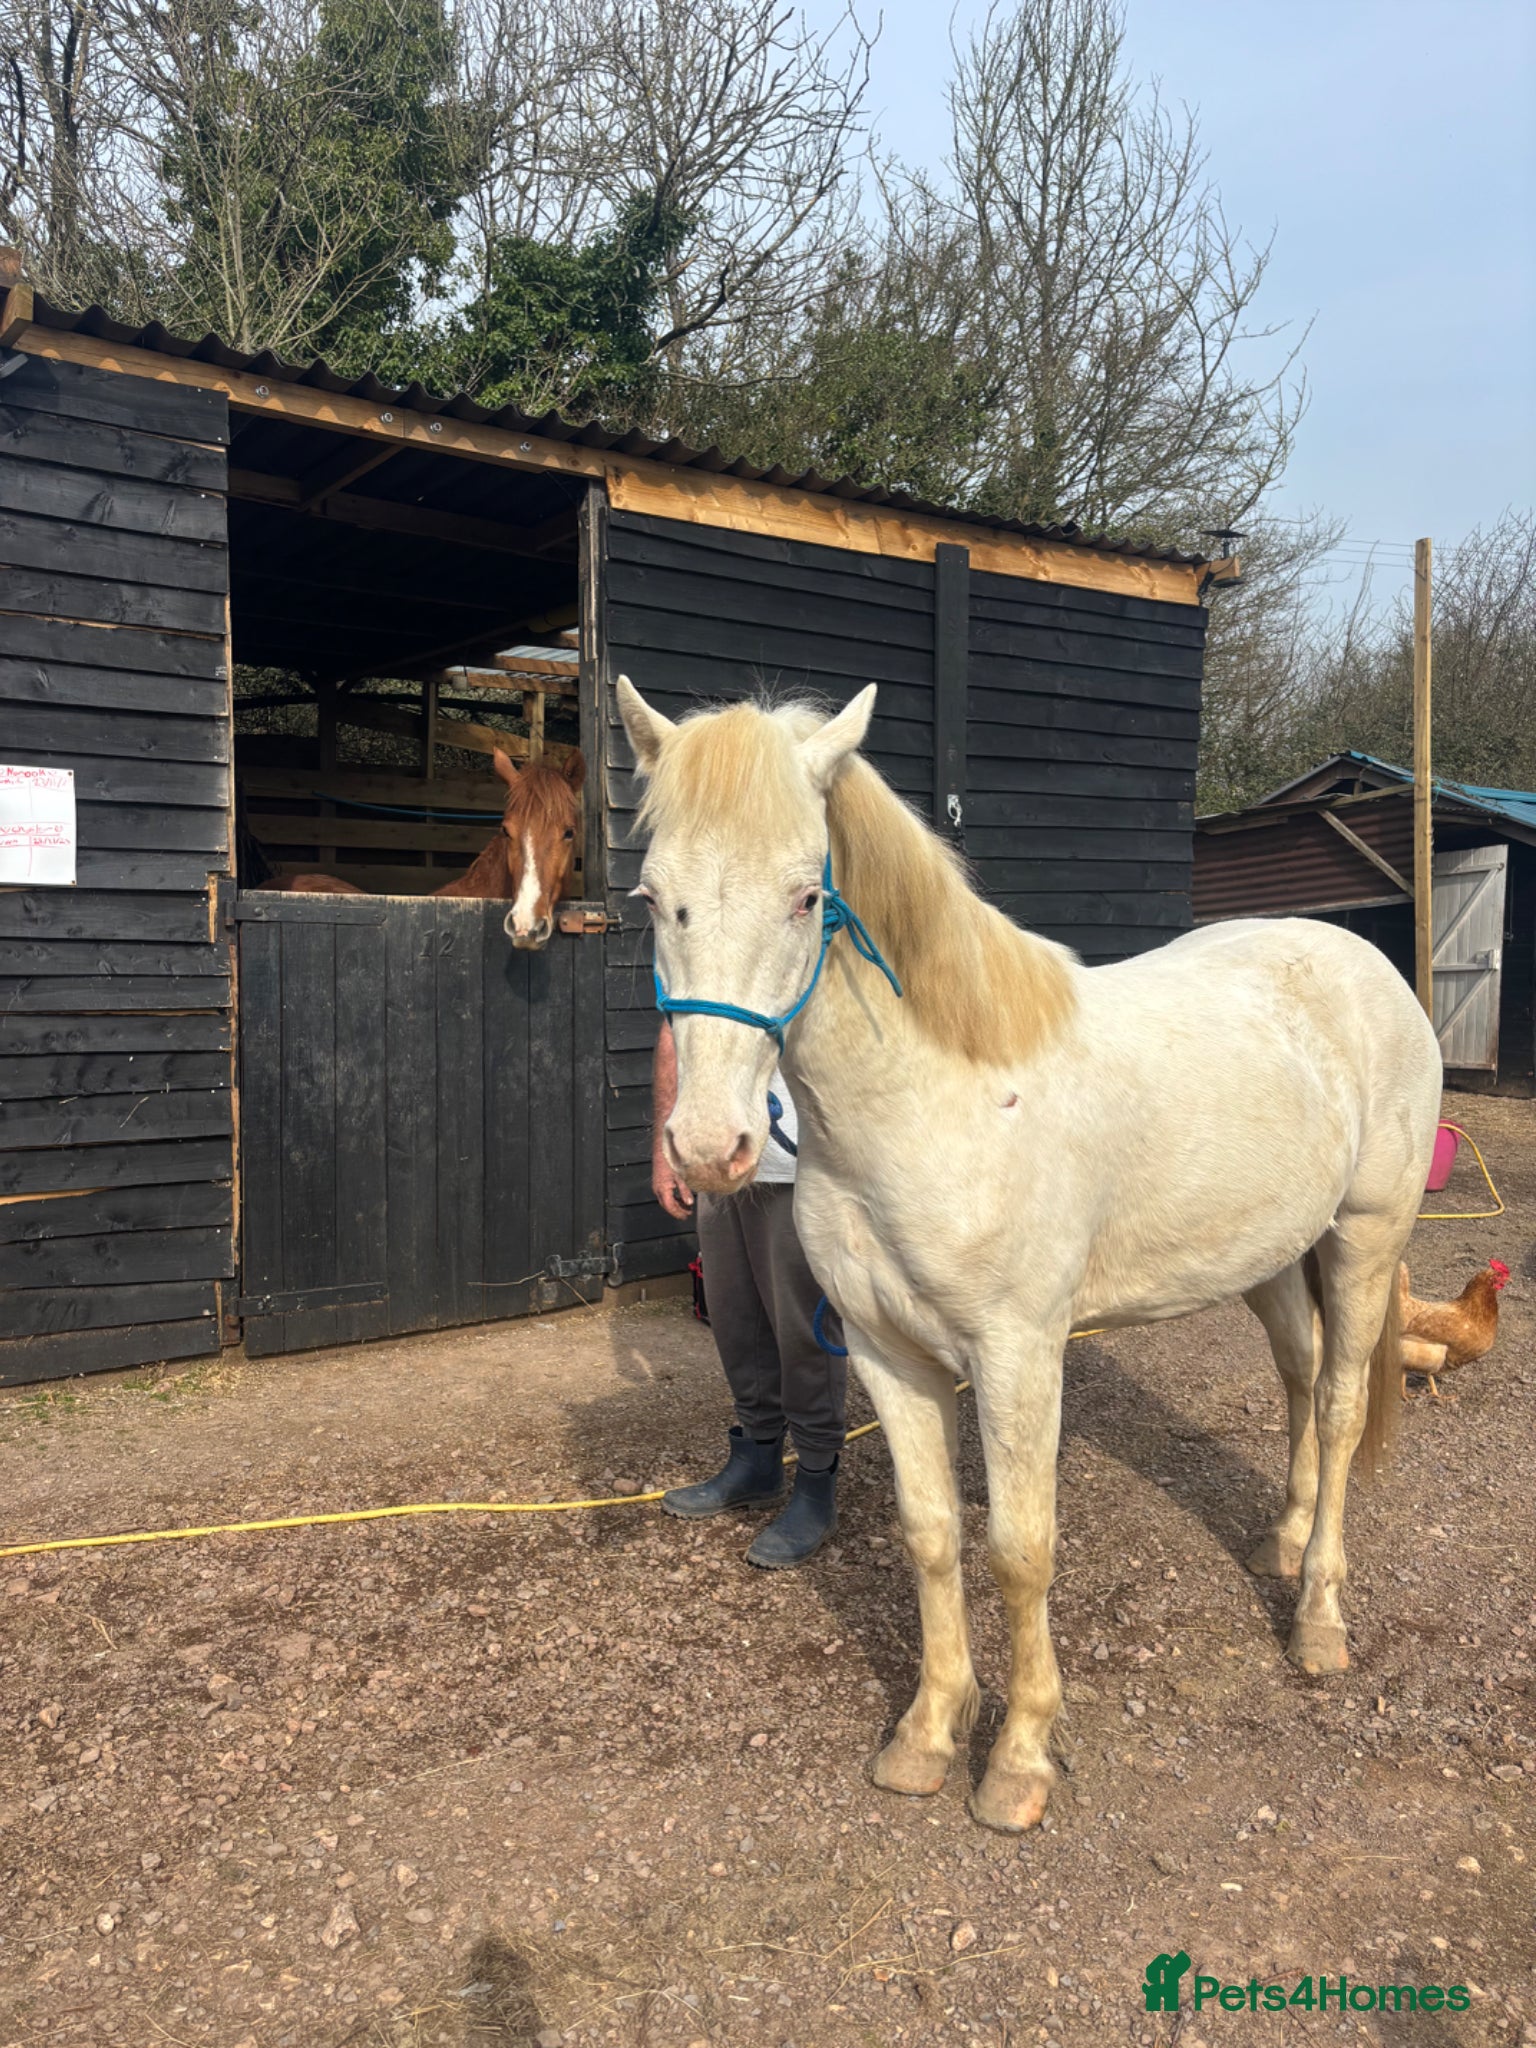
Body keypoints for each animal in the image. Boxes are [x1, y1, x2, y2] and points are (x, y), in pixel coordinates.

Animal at [617, 676, 1442, 1835]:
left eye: (806, 898)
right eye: (654, 899)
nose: (707, 1147)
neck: (937, 1099)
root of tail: (1366, 964)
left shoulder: (1017, 1355)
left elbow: (1019, 1548)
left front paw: (1017, 1758)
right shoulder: (889, 1353)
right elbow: (928, 1535)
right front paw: (927, 1734)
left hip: (1365, 1238)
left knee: (1338, 1404)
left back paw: (1317, 1616)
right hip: (1274, 1257)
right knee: (1299, 1376)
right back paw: (1279, 1540)